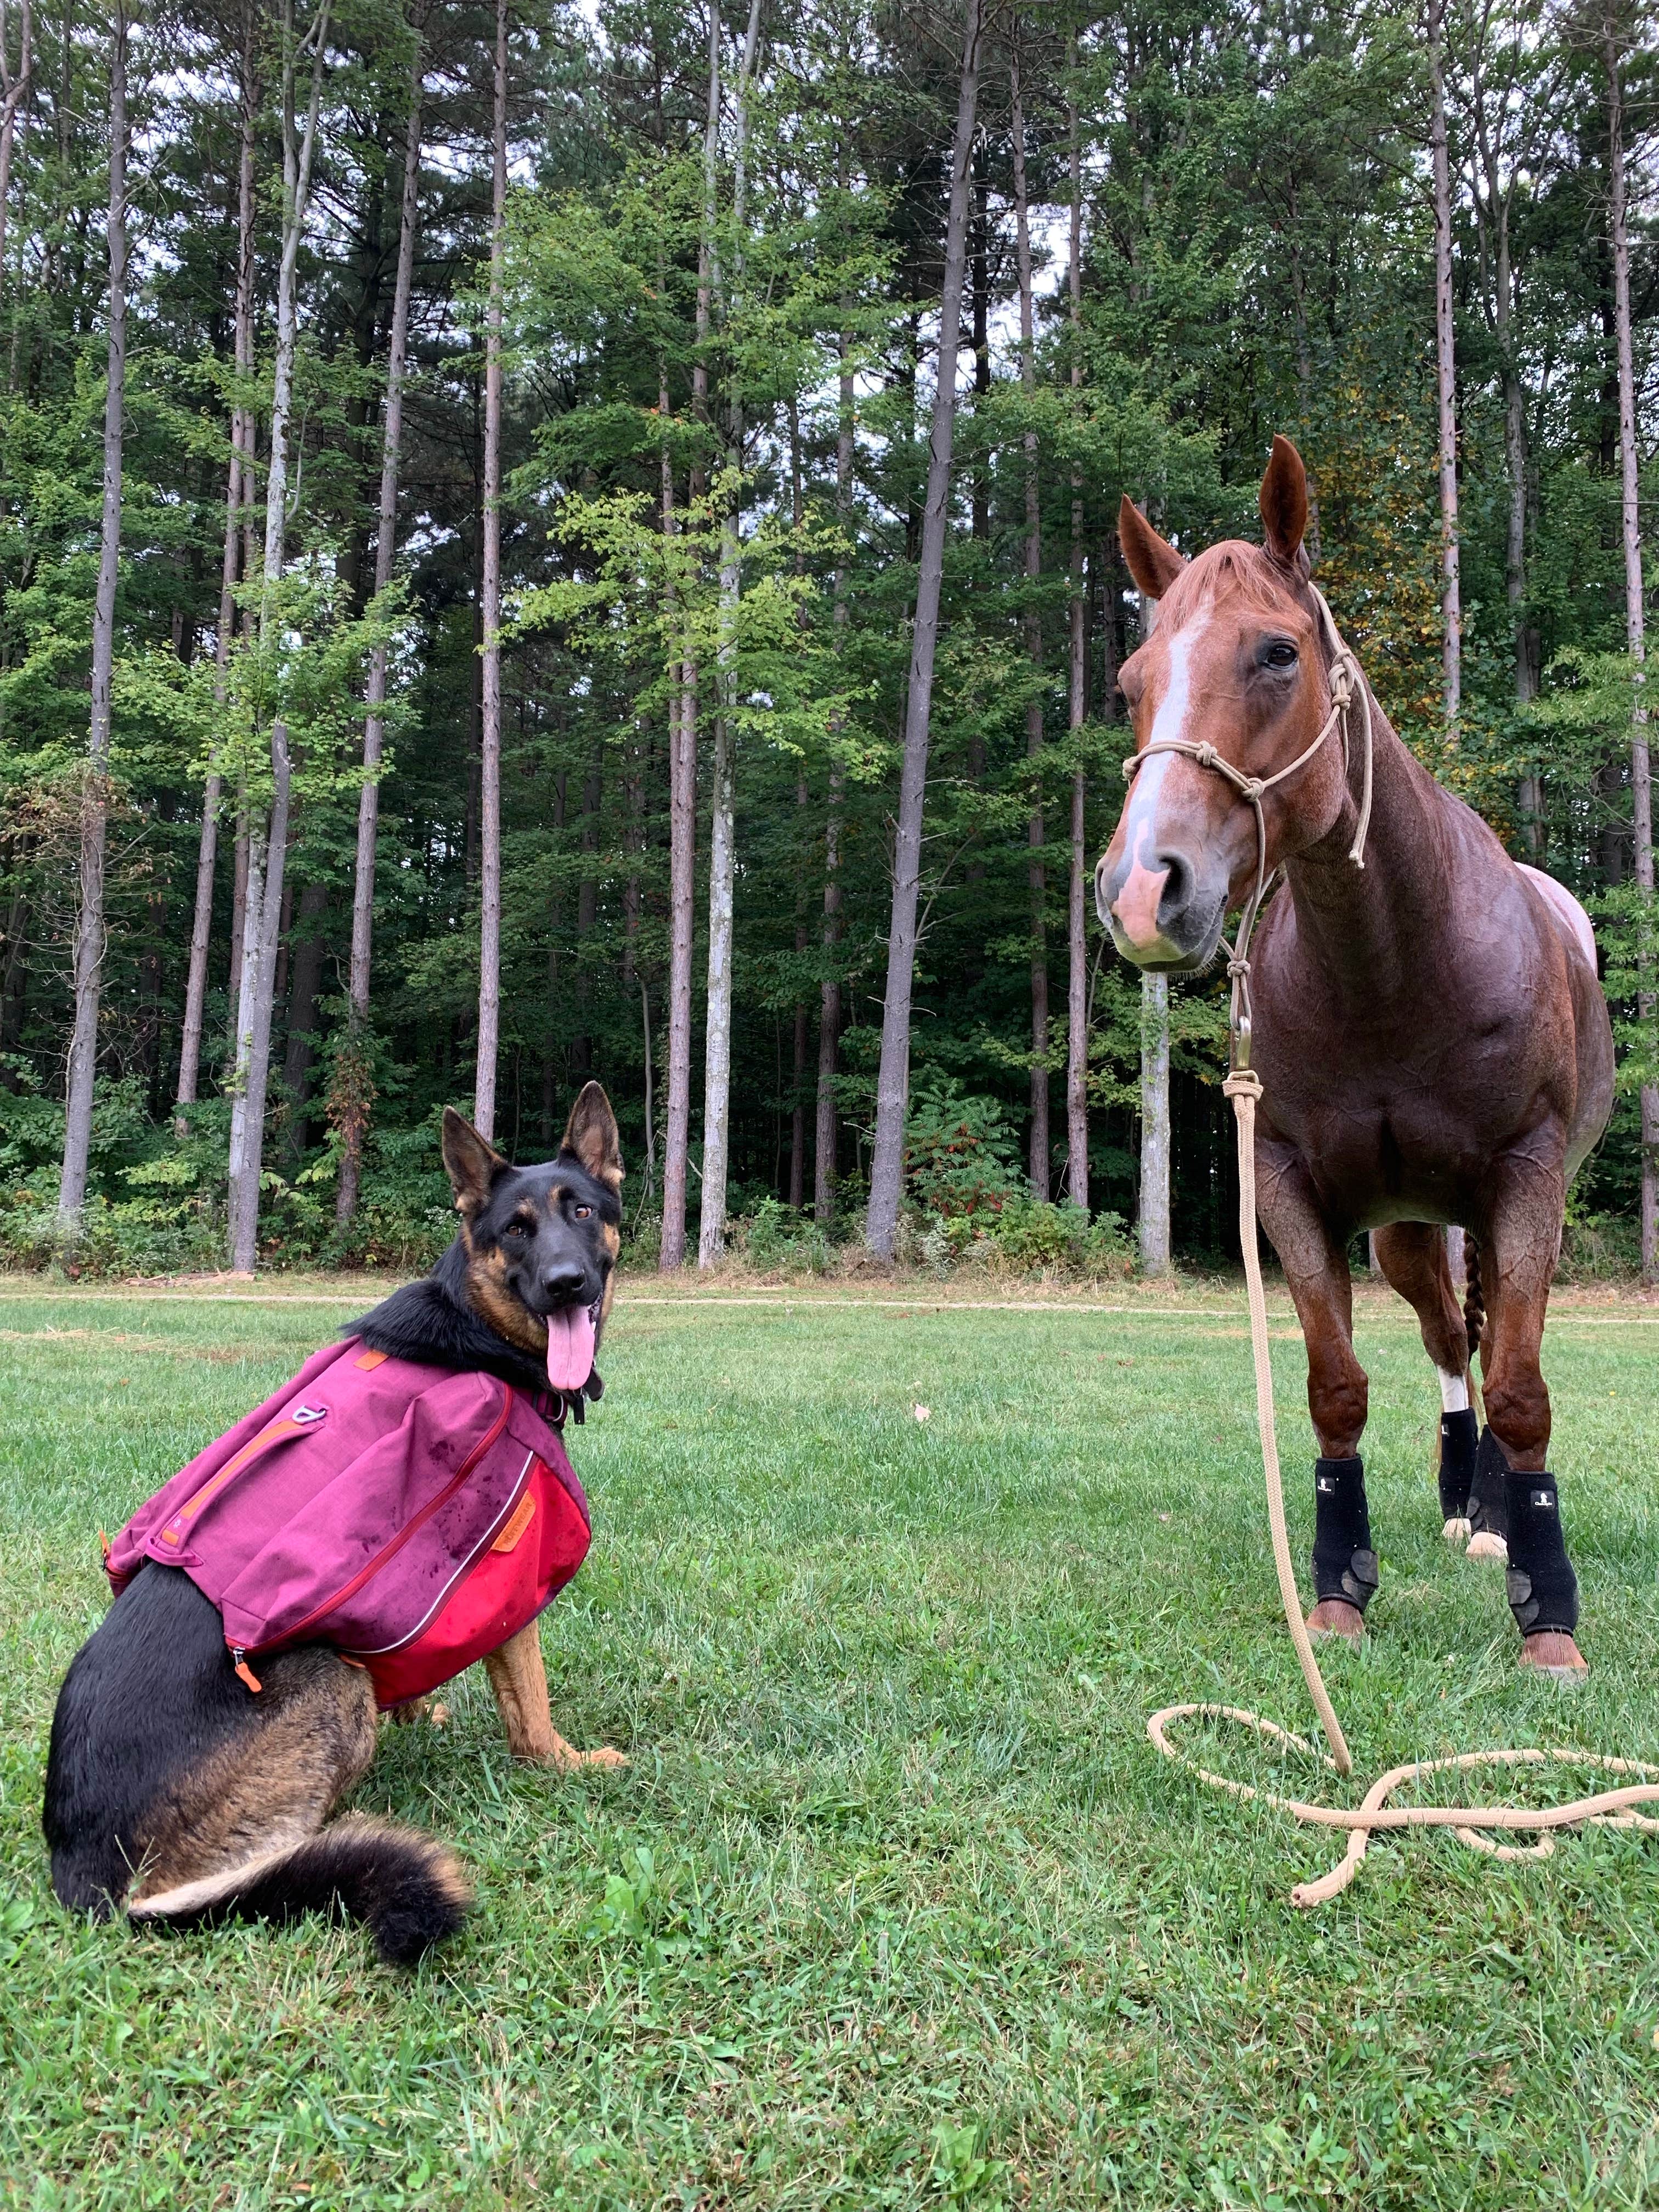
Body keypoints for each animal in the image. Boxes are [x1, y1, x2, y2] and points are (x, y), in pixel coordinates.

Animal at [1095, 435, 1614, 1680]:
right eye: (1130, 684)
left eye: (1276, 653)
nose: (1142, 889)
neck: (1396, 968)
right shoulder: (1288, 1186)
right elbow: (1335, 1391)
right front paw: (1337, 1593)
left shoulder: (1526, 1181)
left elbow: (1525, 1392)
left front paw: (1548, 1615)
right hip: (1409, 1234)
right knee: (1448, 1341)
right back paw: (1462, 1500)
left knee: (1490, 1343)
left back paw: (1493, 1518)